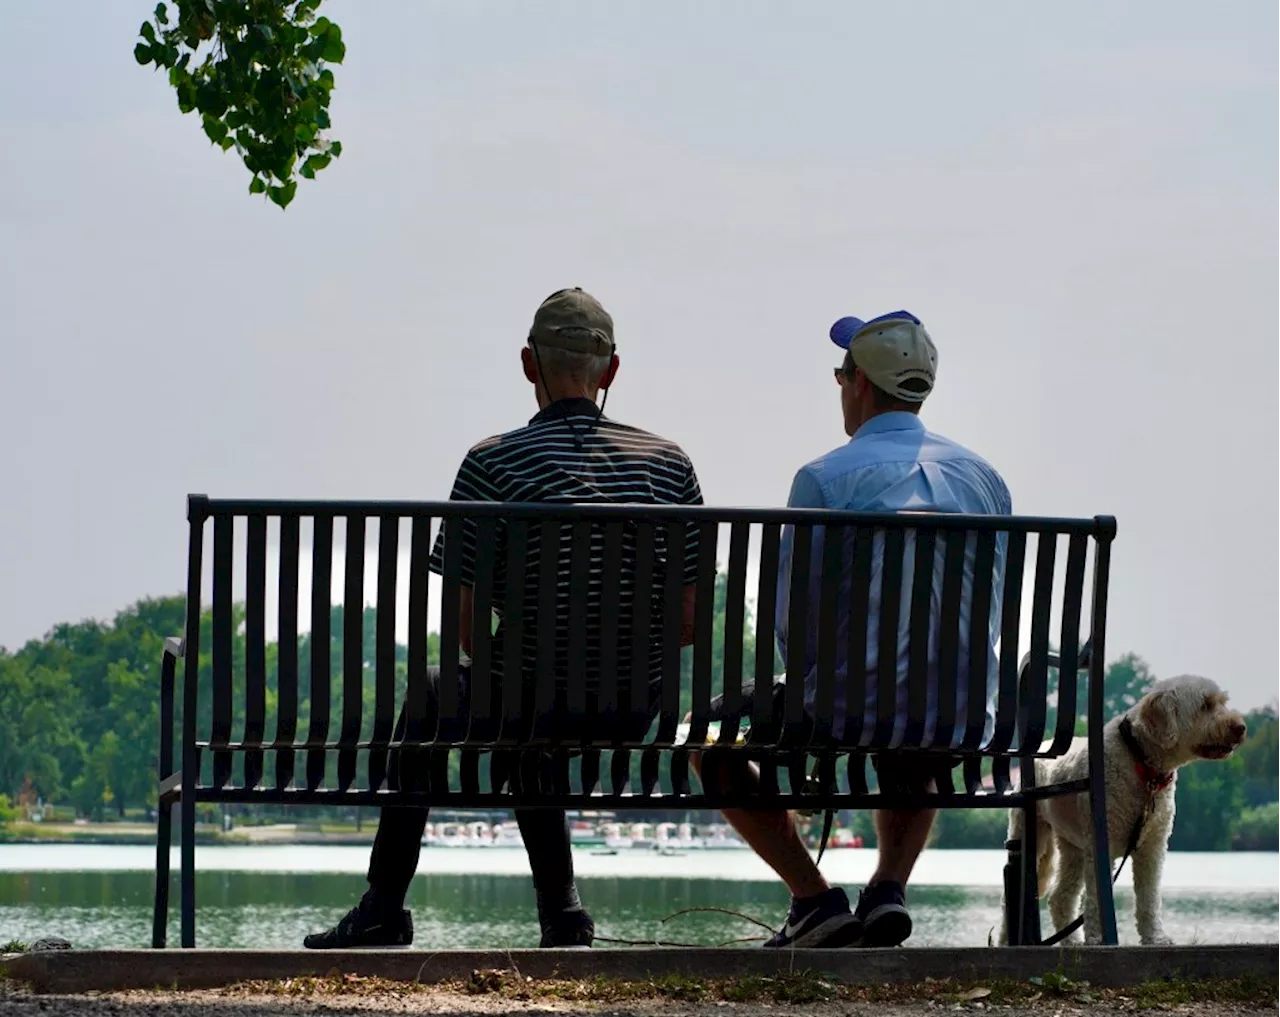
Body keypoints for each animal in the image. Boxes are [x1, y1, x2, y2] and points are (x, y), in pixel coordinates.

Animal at [1003, 675, 1244, 946]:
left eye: (1223, 702)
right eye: (1205, 705)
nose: (1241, 727)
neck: (1140, 761)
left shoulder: (1153, 846)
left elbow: (1149, 898)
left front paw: (1155, 937)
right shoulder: (1101, 846)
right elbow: (1097, 898)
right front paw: (1098, 938)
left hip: (1073, 847)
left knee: (1060, 897)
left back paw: (1072, 941)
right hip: (1029, 835)